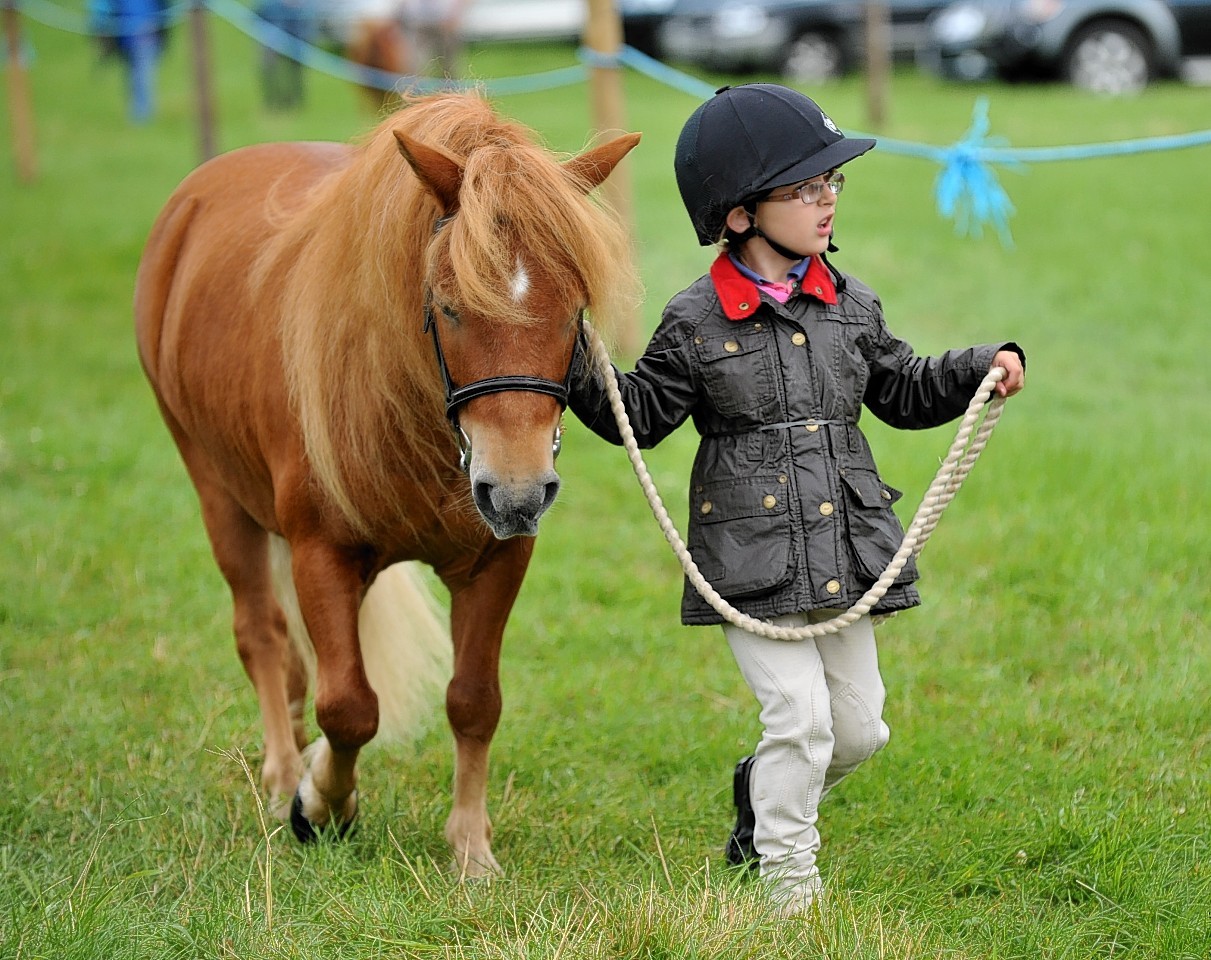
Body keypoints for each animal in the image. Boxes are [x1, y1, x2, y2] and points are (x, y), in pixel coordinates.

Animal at [132, 92, 639, 876]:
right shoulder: (321, 554)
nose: (517, 492)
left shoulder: (498, 558)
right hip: (217, 492)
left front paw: (470, 848)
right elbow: (349, 706)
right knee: (262, 634)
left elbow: (473, 700)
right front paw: (320, 802)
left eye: (572, 309)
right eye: (450, 305)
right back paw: (283, 773)